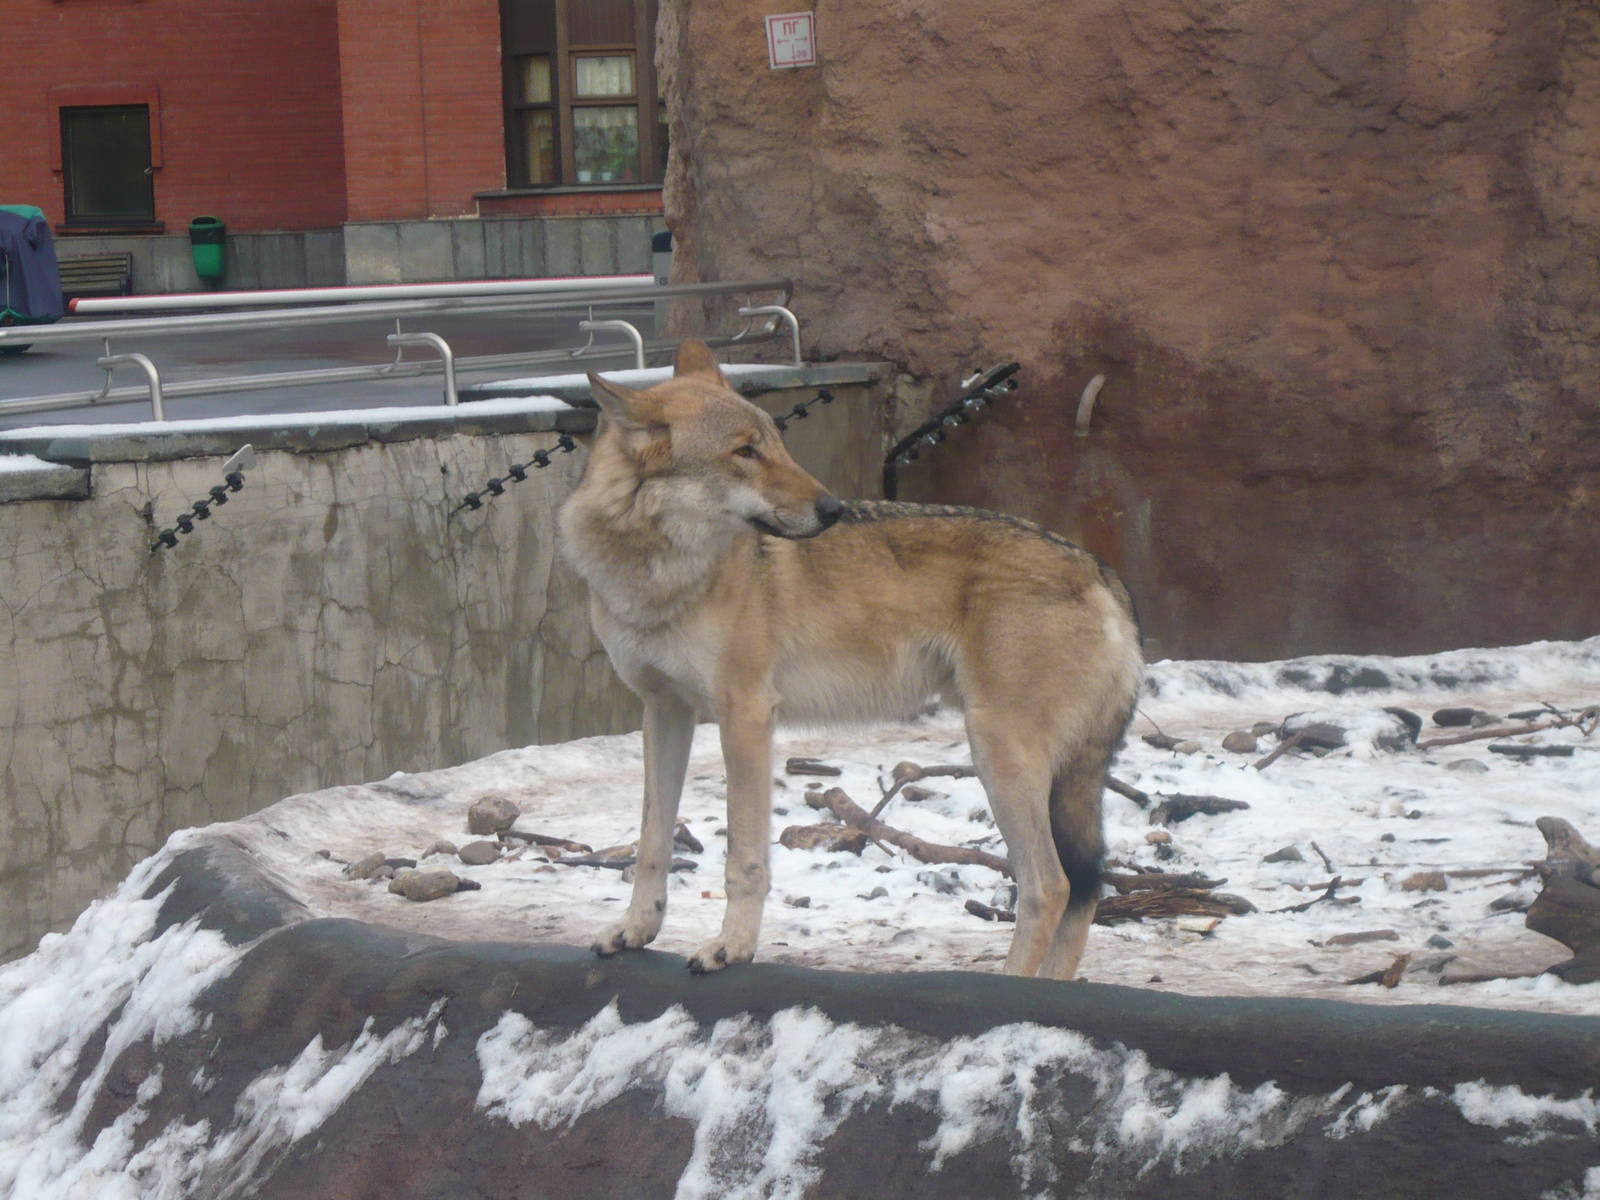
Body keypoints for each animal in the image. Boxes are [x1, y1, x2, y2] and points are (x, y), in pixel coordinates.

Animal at [557, 340, 1142, 980]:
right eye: (745, 452)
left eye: (777, 442)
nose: (833, 508)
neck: (657, 572)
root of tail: (1101, 572)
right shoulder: (664, 712)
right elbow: (651, 844)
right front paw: (636, 930)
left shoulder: (747, 715)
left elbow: (744, 858)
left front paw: (732, 947)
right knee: (1084, 888)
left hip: (999, 754)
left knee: (1050, 886)